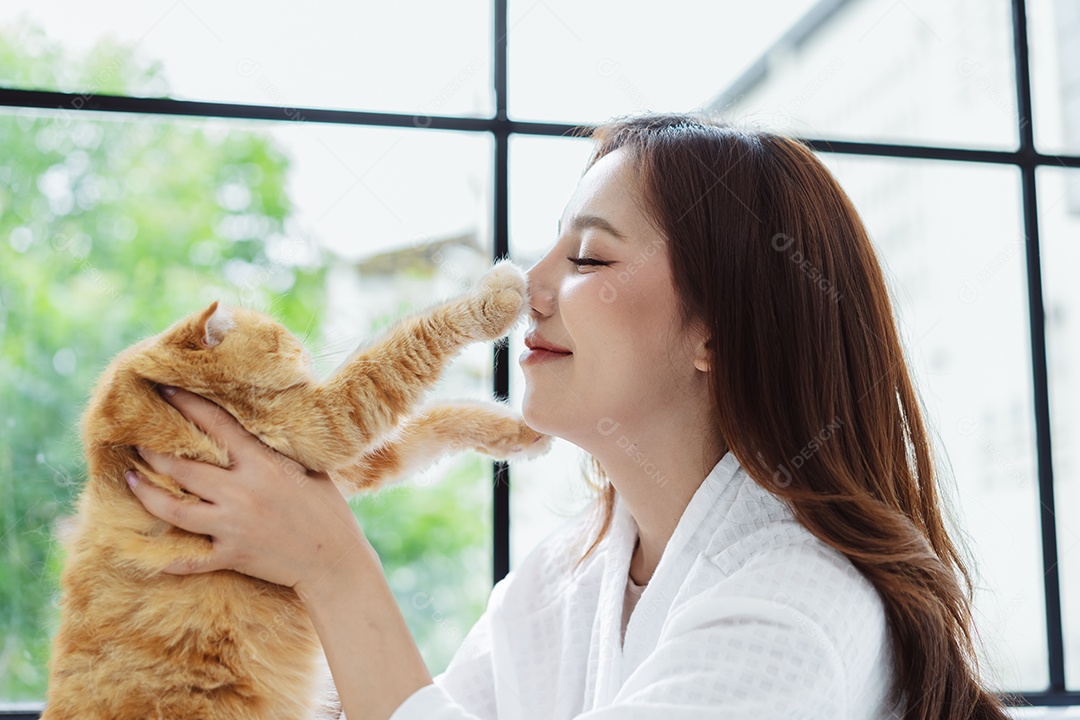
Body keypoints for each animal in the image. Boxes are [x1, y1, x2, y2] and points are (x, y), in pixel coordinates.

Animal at [42, 263, 548, 720]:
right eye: (280, 338)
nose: (303, 350)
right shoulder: (327, 420)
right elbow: (409, 346)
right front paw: (496, 297)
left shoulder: (340, 461)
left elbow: (435, 422)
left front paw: (518, 431)